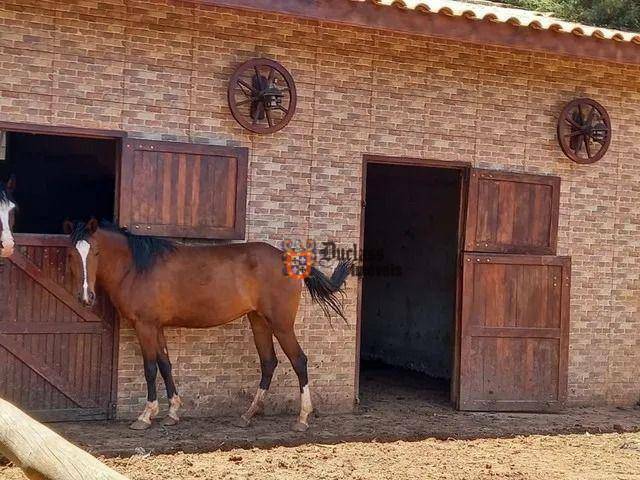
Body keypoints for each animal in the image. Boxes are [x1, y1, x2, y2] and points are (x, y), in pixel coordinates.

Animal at [62, 220, 348, 432]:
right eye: (72, 254)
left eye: (96, 252)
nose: (86, 297)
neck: (136, 267)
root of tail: (290, 260)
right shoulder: (157, 327)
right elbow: (165, 365)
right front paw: (173, 413)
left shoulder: (145, 326)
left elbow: (150, 368)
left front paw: (145, 416)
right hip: (258, 321)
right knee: (269, 362)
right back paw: (247, 415)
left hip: (281, 324)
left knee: (299, 361)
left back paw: (302, 419)